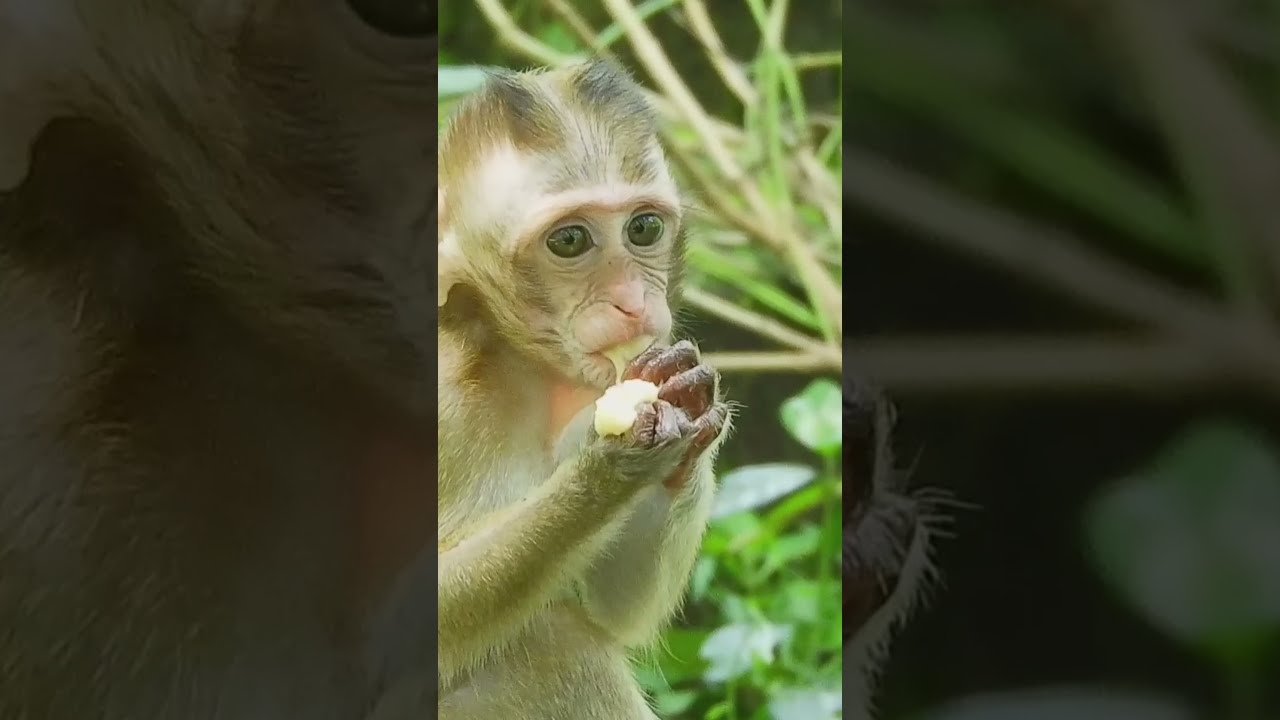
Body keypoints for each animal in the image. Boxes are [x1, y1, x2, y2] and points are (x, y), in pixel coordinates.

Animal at [435, 61, 733, 720]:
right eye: (569, 241)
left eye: (644, 228)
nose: (630, 302)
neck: (502, 349)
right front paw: (607, 473)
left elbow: (616, 609)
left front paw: (683, 400)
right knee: (549, 639)